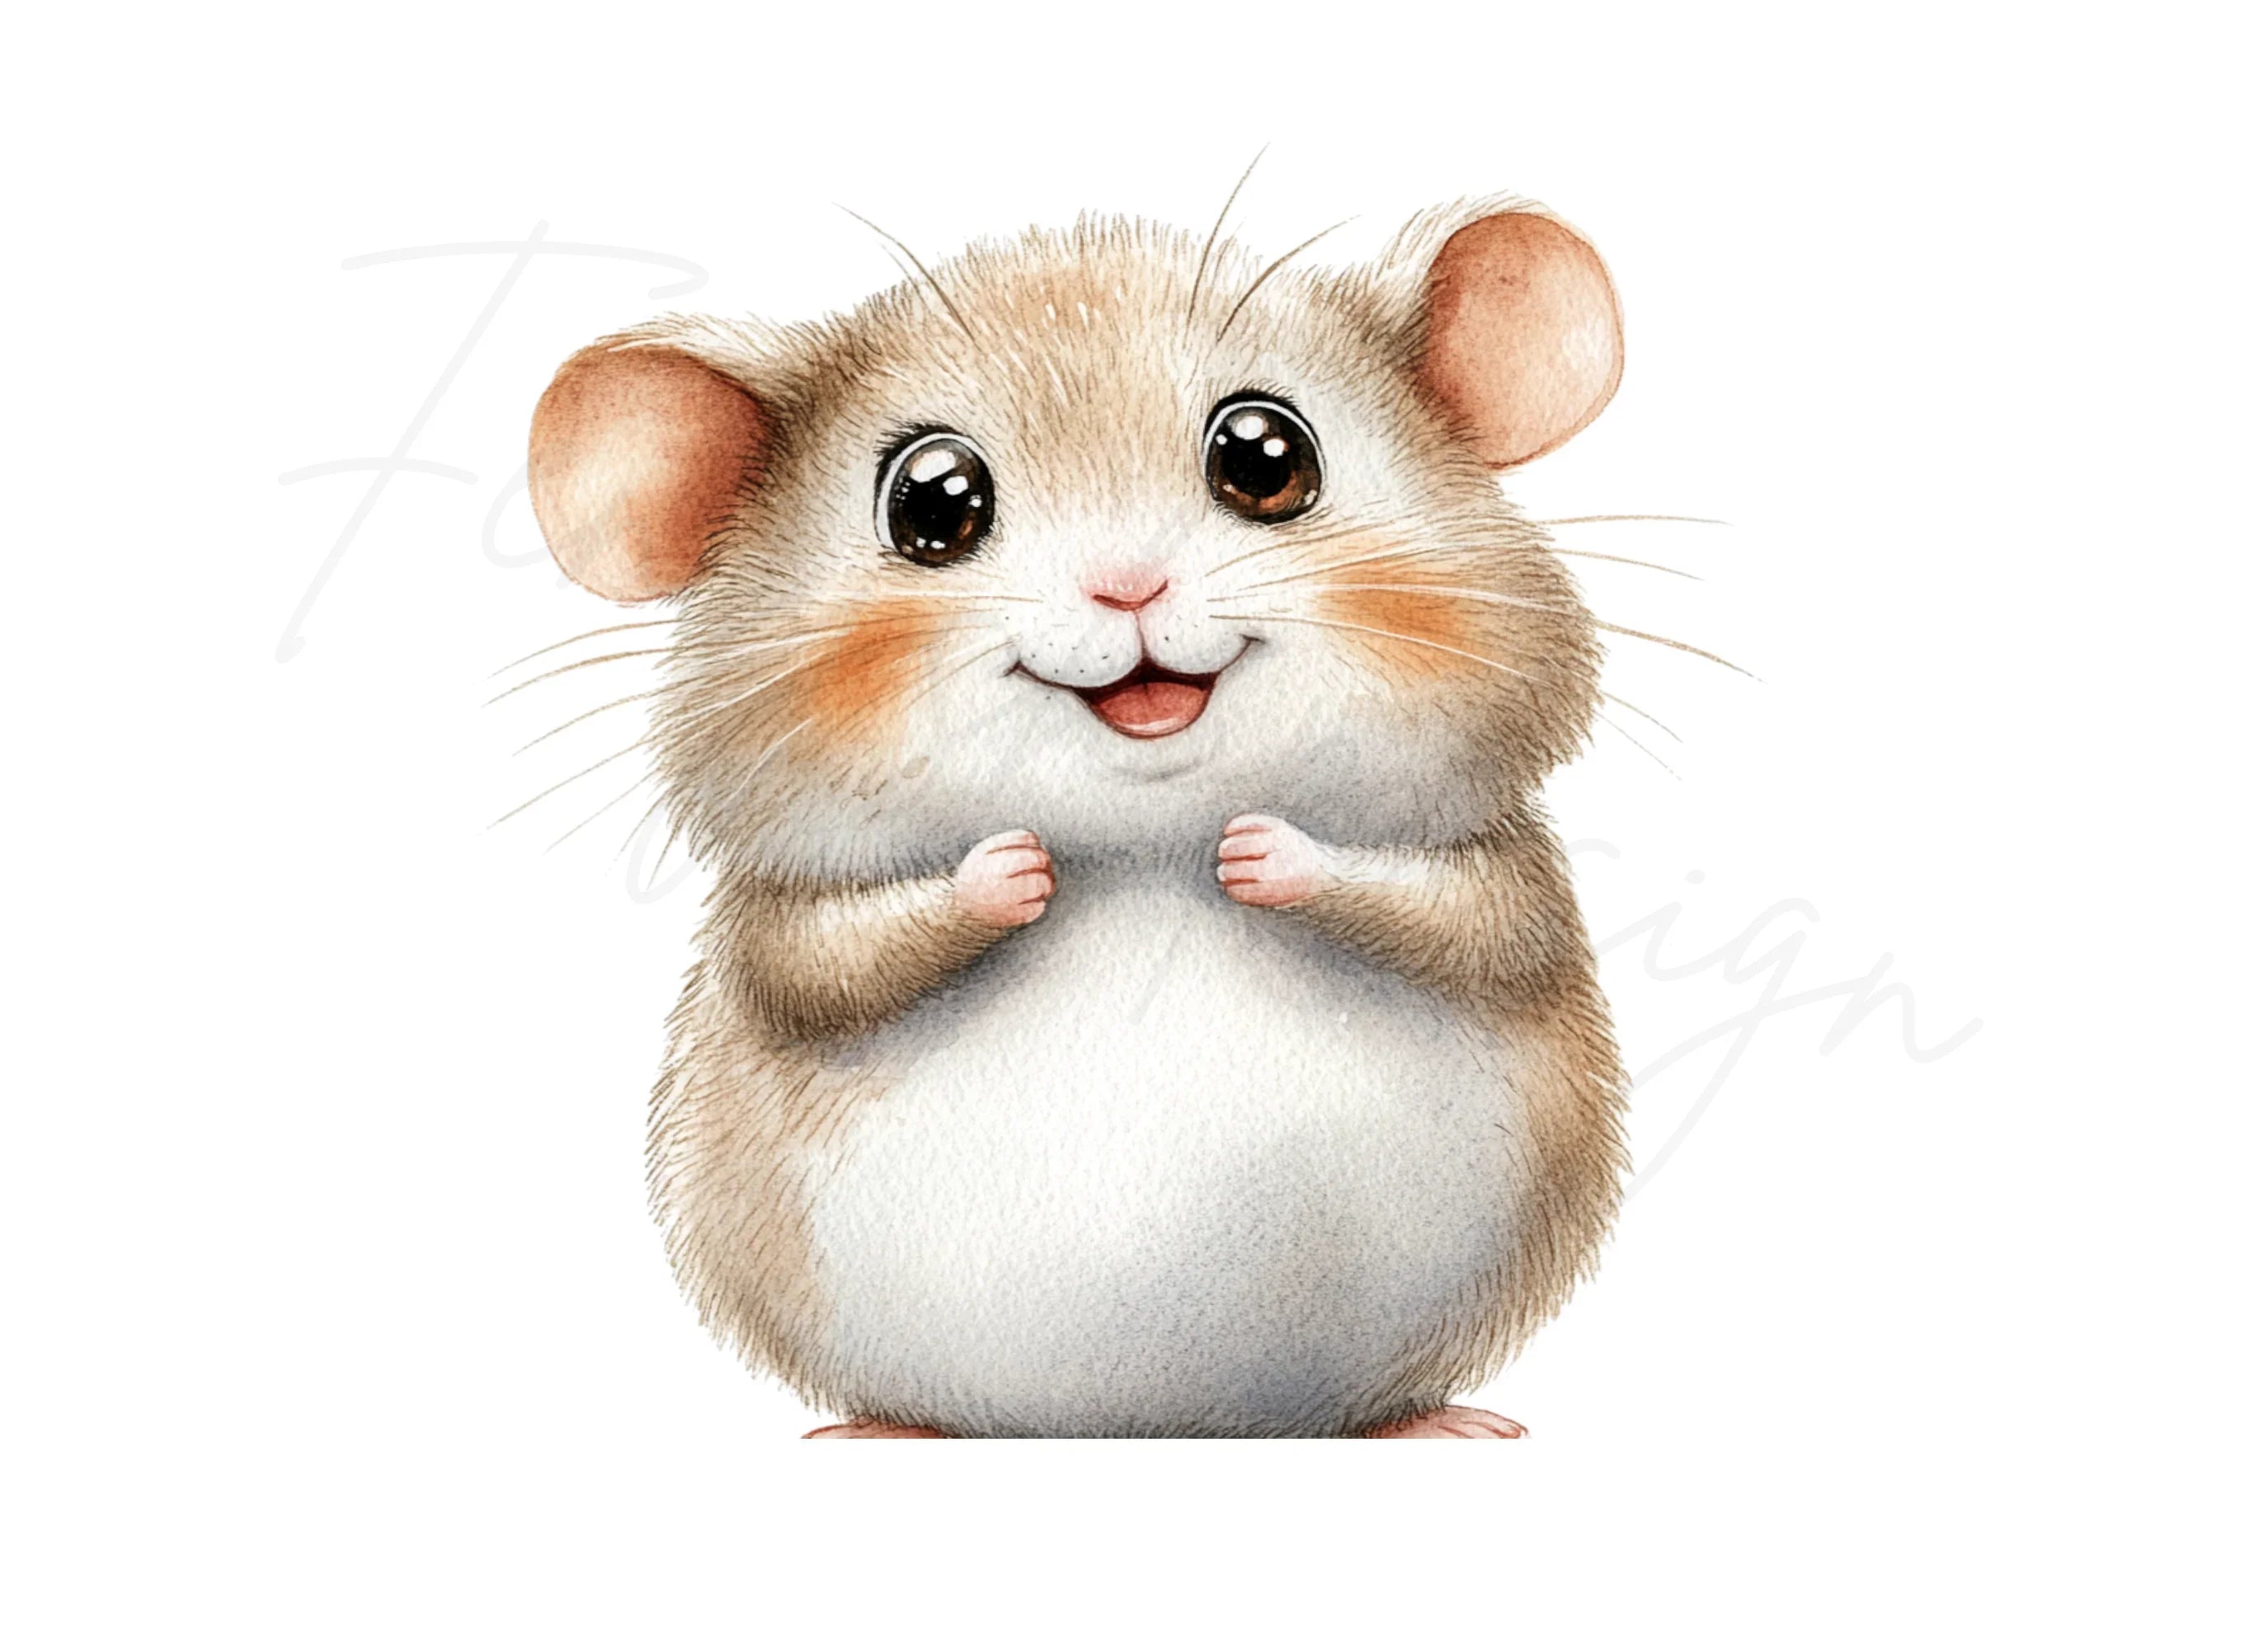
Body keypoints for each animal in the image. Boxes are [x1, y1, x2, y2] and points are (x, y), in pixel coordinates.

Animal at [525, 196, 1629, 1438]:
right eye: (933, 501)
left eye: (1265, 456)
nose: (1127, 584)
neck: (1140, 848)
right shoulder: (780, 925)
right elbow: (833, 961)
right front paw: (1013, 866)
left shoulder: (1502, 868)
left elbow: (1459, 912)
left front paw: (1257, 848)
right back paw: (875, 1430)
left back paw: (1436, 1422)